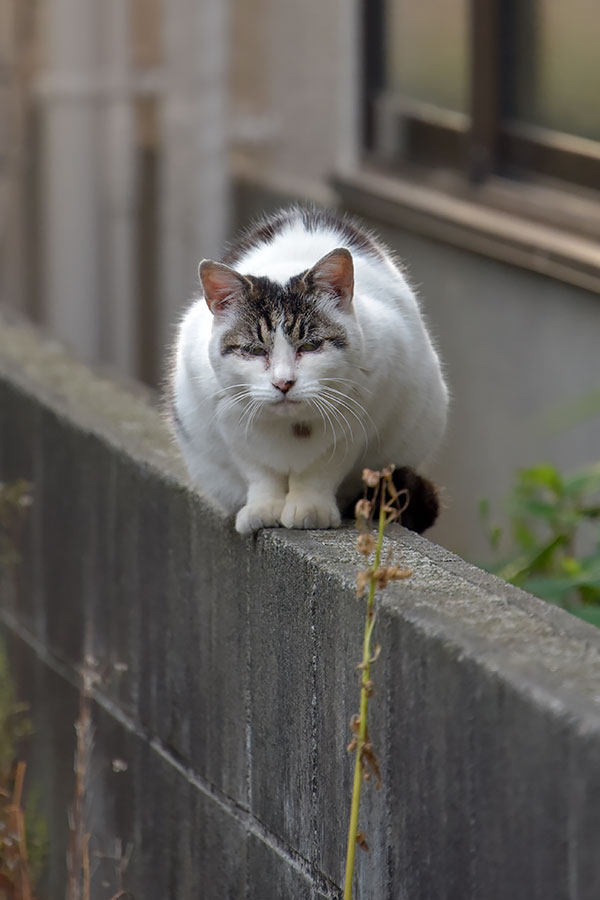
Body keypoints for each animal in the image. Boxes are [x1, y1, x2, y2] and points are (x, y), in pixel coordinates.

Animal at [168, 206, 446, 536]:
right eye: (254, 351)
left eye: (311, 346)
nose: (283, 383)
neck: (292, 427)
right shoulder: (229, 421)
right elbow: (260, 472)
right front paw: (263, 508)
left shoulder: (363, 413)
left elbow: (321, 469)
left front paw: (310, 509)